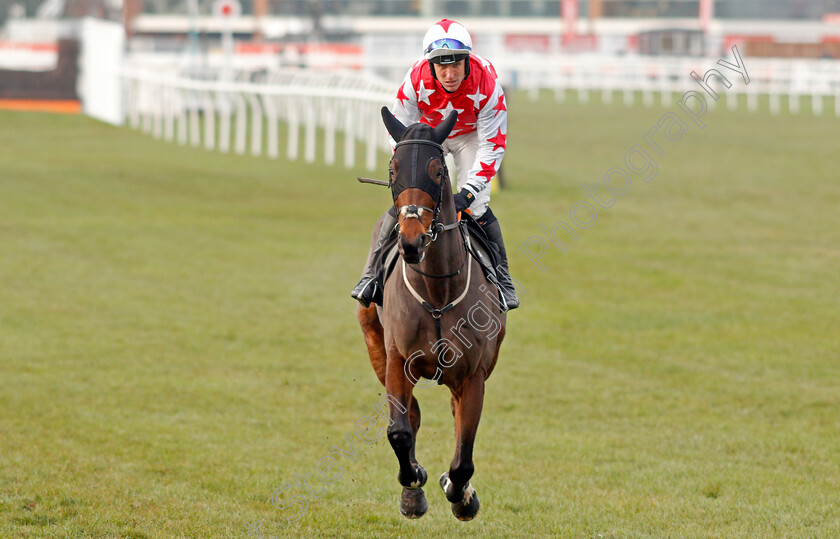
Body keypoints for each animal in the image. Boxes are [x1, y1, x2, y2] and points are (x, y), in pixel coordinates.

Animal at [356, 106, 506, 524]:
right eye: (392, 169)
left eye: (438, 171)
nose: (411, 240)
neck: (438, 291)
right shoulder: (396, 359)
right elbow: (399, 430)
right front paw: (413, 487)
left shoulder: (474, 373)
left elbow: (463, 454)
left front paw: (461, 494)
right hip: (373, 341)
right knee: (411, 416)